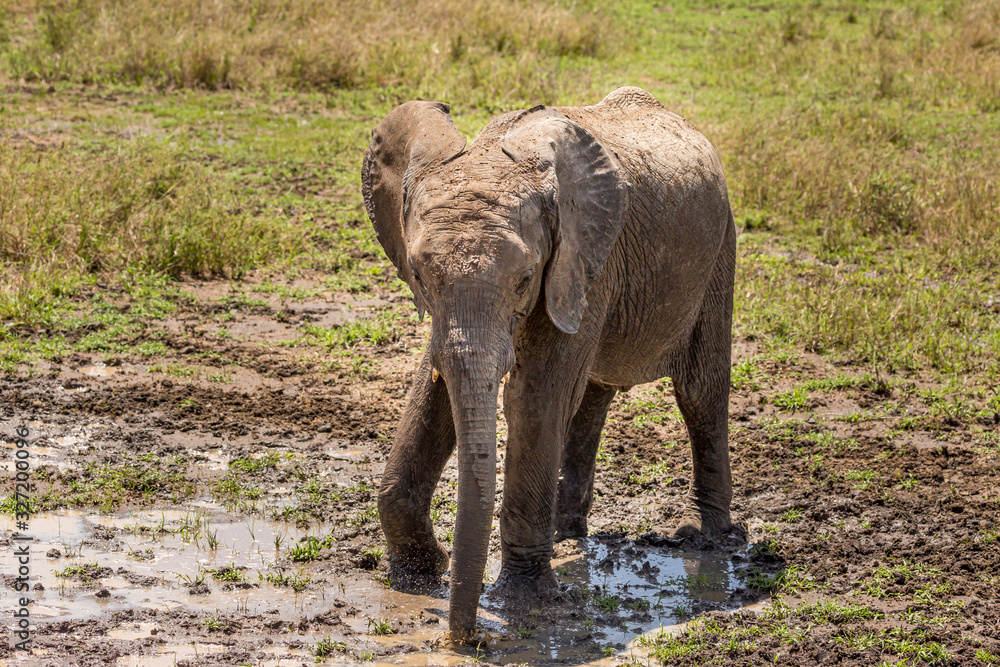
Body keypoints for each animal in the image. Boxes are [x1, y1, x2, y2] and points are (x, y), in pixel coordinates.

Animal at [361, 86, 735, 642]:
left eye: (522, 281)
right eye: (421, 277)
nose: (469, 639)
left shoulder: (579, 257)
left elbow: (533, 394)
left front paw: (523, 602)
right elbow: (438, 387)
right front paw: (417, 575)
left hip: (718, 254)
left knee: (699, 393)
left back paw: (701, 536)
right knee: (594, 391)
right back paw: (566, 532)